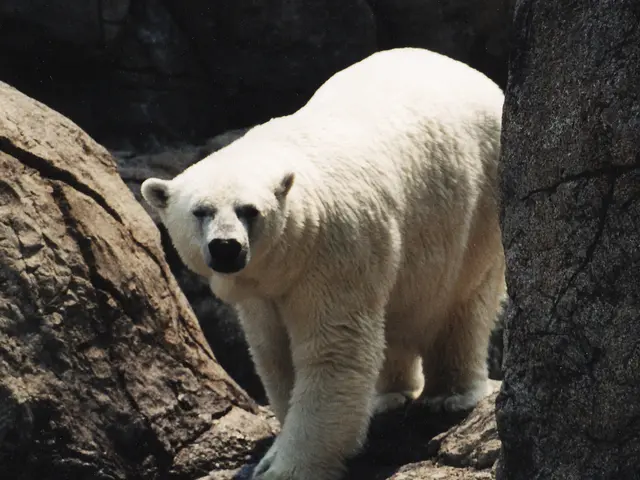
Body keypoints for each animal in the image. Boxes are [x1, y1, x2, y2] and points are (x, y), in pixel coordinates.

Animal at [141, 47, 506, 480]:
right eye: (201, 211)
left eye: (249, 210)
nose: (226, 248)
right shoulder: (264, 291)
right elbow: (275, 353)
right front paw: (273, 452)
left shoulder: (336, 250)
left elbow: (333, 352)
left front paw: (285, 467)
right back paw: (388, 395)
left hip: (482, 204)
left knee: (464, 301)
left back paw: (448, 395)